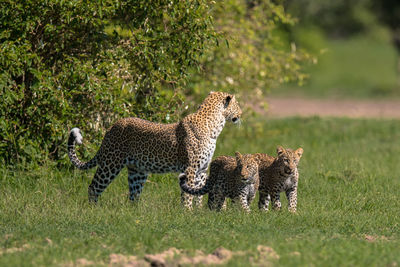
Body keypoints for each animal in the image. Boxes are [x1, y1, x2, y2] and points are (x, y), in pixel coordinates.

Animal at [68, 92, 241, 209]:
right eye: (238, 104)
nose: (241, 113)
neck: (215, 128)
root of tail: (111, 127)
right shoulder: (190, 168)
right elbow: (188, 193)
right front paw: (187, 211)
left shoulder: (203, 169)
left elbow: (199, 190)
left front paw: (198, 211)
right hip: (111, 163)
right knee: (94, 187)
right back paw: (94, 209)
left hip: (137, 171)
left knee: (134, 194)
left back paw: (135, 213)